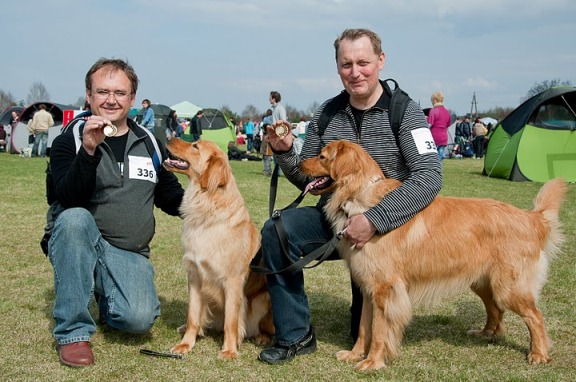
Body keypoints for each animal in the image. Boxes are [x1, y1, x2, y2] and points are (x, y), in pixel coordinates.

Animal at [163, 140, 274, 358]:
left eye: (195, 146)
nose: (169, 138)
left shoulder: (232, 281)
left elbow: (230, 321)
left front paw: (229, 350)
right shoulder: (194, 276)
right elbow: (192, 316)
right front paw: (186, 344)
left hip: (263, 298)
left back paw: (262, 337)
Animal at [302, 140, 568, 370]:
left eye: (322, 156)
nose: (299, 164)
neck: (359, 199)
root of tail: (532, 218)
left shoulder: (385, 289)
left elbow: (378, 331)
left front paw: (373, 362)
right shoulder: (369, 290)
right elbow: (363, 328)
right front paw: (355, 354)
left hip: (509, 287)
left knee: (535, 316)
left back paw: (538, 353)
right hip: (483, 282)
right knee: (495, 309)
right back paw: (486, 333)